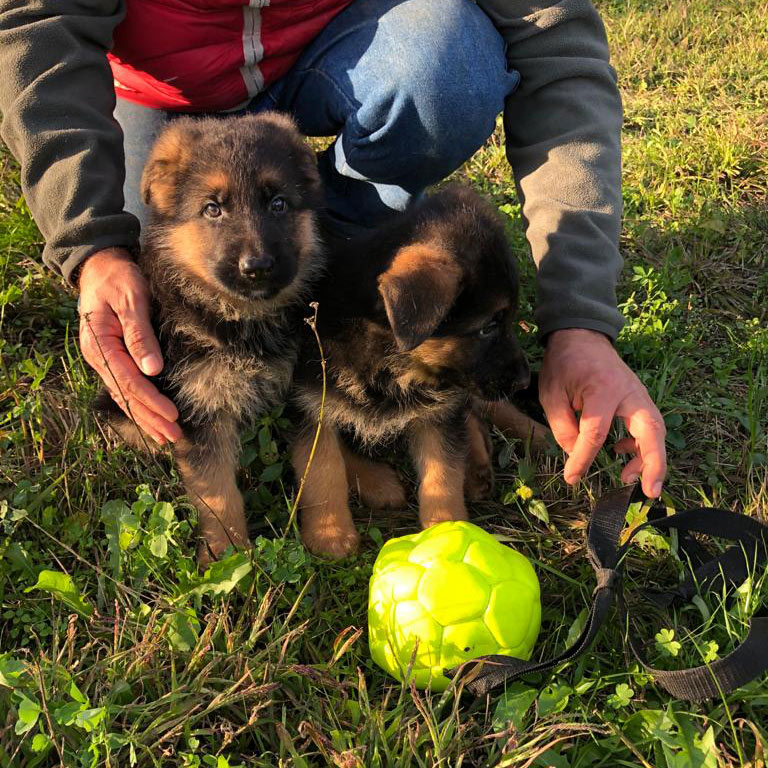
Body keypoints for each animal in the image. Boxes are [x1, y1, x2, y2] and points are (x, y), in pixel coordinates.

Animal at [96, 109, 324, 564]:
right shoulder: (199, 408)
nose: (258, 267)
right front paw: (229, 554)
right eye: (212, 209)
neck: (238, 317)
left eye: (278, 204)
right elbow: (217, 491)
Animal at [292, 186, 532, 560]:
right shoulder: (311, 405)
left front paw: (447, 530)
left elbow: (442, 474)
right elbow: (321, 469)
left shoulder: (440, 413)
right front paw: (329, 533)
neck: (391, 363)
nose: (525, 381)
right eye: (488, 326)